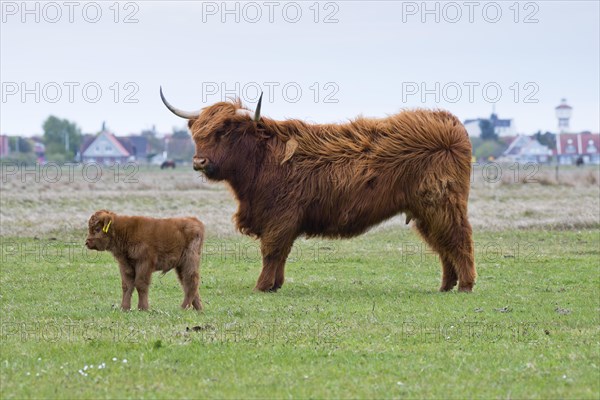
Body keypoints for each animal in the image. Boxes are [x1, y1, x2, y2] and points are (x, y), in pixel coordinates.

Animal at [161, 87, 478, 292]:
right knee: (442, 243)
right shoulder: (280, 219)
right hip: (425, 211)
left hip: (440, 203)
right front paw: (275, 285)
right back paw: (446, 285)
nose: (199, 161)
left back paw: (465, 285)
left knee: (457, 238)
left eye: (224, 131)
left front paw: (262, 286)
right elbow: (281, 253)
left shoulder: (280, 216)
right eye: (197, 132)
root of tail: (451, 124)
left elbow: (271, 251)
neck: (262, 160)